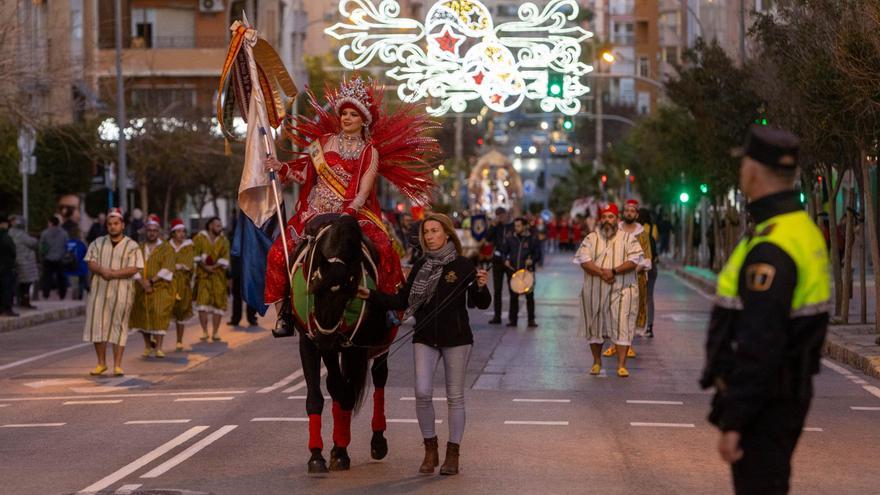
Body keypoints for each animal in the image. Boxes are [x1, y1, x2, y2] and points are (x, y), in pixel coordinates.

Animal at [290, 214, 394, 476]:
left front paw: (339, 452)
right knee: (336, 384)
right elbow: (318, 395)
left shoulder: (355, 346)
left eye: (347, 295)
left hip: (379, 343)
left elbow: (346, 394)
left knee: (380, 379)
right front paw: (317, 456)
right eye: (315, 291)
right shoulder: (309, 342)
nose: (325, 338)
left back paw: (378, 442)